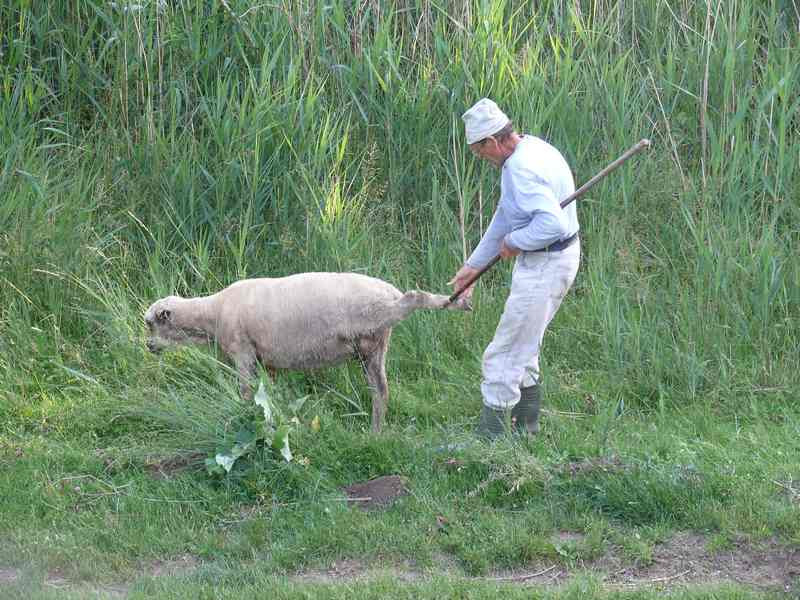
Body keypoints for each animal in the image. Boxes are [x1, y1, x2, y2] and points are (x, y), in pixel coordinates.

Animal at [145, 272, 472, 432]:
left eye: (151, 324)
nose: (148, 347)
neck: (211, 314)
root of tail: (388, 291)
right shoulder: (268, 360)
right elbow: (269, 392)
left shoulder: (243, 352)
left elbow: (247, 392)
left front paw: (244, 413)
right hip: (374, 344)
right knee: (381, 390)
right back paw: (376, 432)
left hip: (377, 317)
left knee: (413, 298)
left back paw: (450, 301)